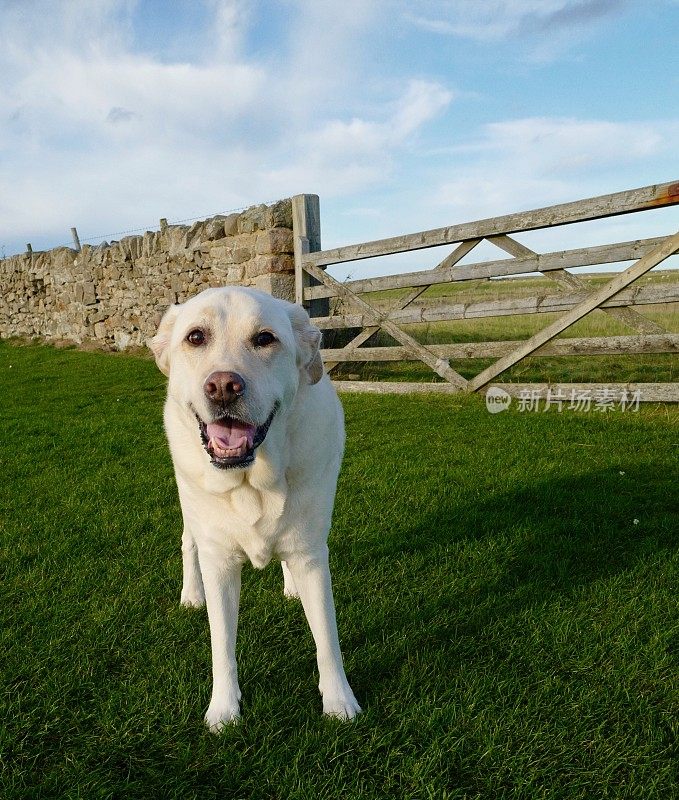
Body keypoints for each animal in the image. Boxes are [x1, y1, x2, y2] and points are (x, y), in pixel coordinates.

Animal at [149, 288, 362, 732]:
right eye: (196, 337)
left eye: (265, 338)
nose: (223, 387)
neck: (252, 481)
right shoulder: (219, 562)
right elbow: (222, 646)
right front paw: (224, 709)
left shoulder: (312, 555)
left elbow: (327, 638)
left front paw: (339, 701)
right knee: (187, 542)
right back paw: (191, 594)